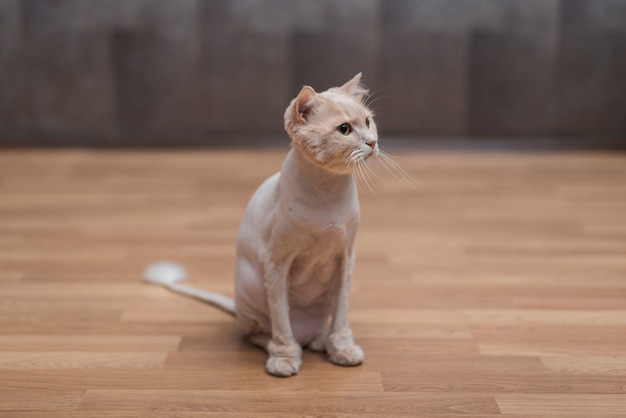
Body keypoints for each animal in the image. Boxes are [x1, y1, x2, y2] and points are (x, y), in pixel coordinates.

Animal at [146, 73, 378, 378]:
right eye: (344, 129)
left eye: (368, 122)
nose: (373, 142)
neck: (327, 193)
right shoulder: (276, 263)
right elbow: (281, 321)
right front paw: (284, 358)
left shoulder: (346, 259)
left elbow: (342, 316)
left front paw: (343, 350)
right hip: (252, 288)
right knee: (257, 332)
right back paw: (280, 346)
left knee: (316, 328)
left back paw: (319, 341)